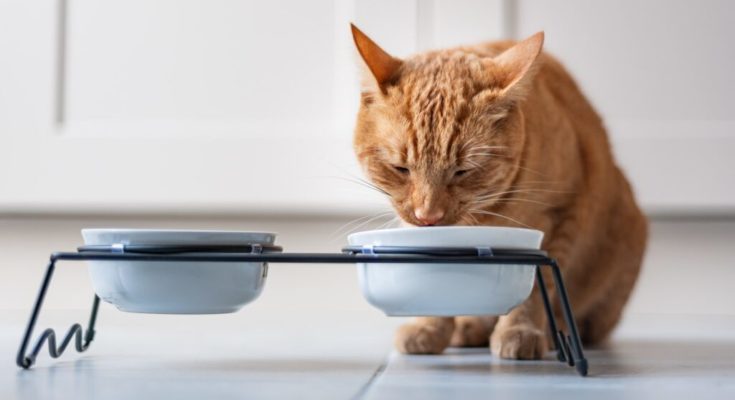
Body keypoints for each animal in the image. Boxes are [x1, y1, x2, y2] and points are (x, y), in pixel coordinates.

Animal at [350, 23, 644, 358]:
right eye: (400, 169)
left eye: (463, 171)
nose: (428, 215)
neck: (481, 219)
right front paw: (429, 326)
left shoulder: (560, 216)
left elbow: (535, 291)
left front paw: (521, 331)